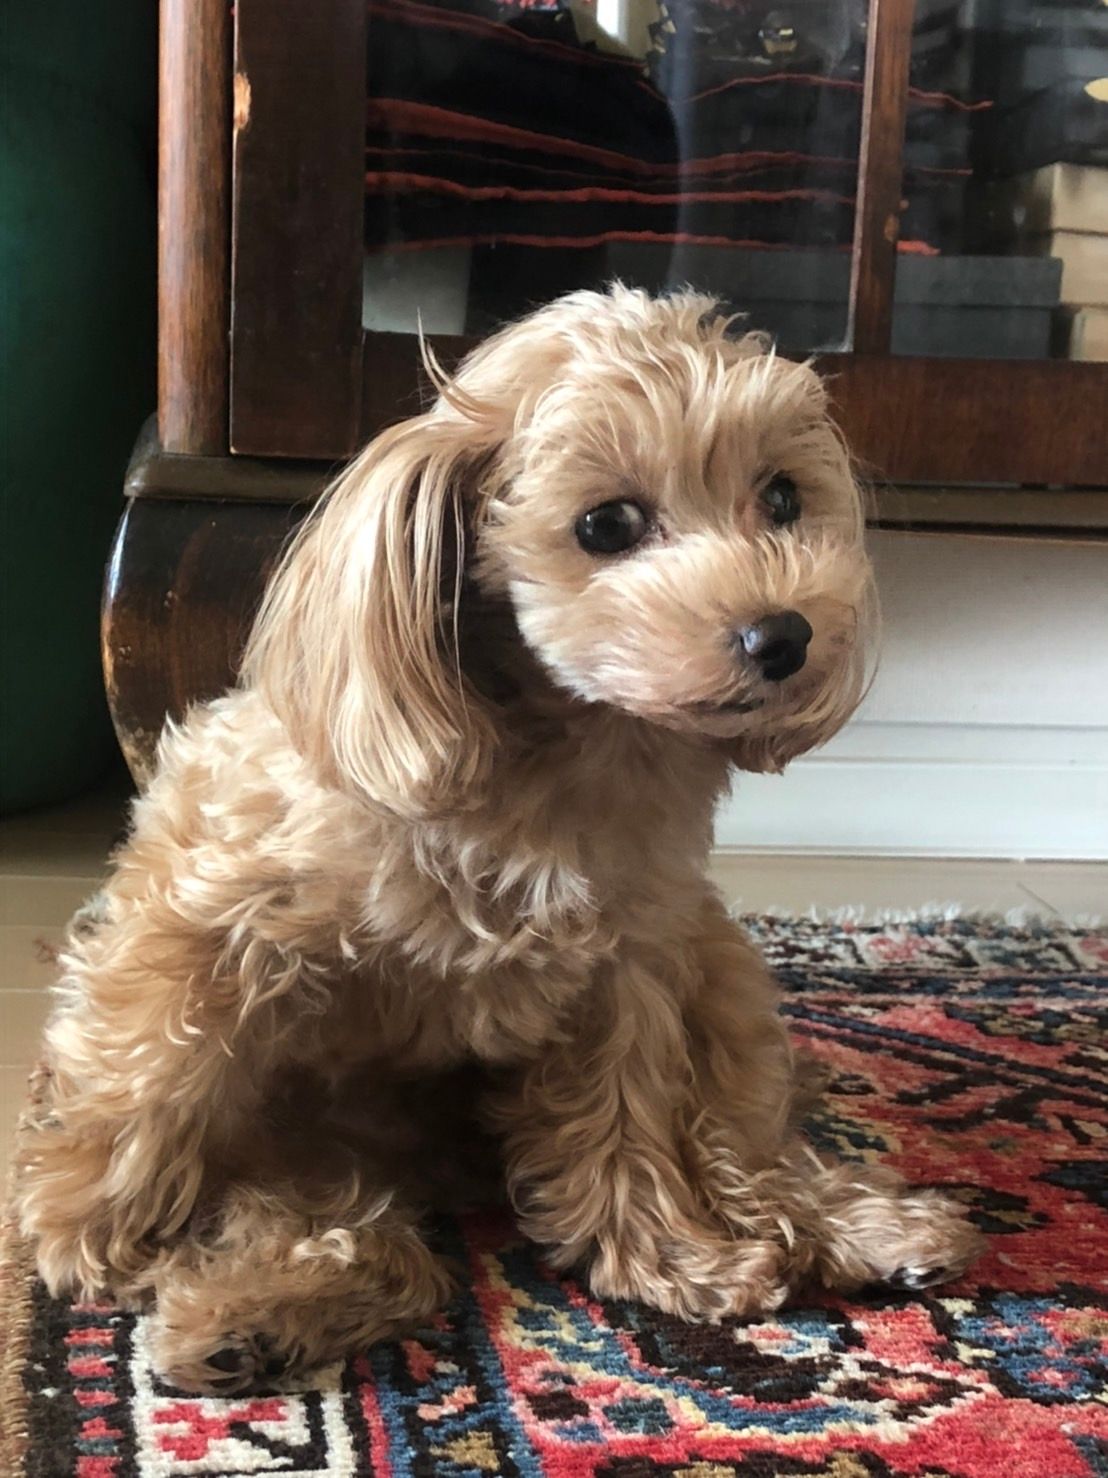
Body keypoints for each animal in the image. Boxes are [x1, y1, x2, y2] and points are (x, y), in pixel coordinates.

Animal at [14, 287, 982, 1393]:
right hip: (306, 1127)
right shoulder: (204, 912)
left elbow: (623, 1125)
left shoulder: (626, 970)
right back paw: (244, 1318)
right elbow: (146, 1068)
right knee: (344, 1229)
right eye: (605, 523)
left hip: (717, 964)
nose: (783, 635)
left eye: (781, 497)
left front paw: (666, 1258)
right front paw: (92, 1226)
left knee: (745, 1149)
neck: (563, 754)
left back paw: (857, 1225)